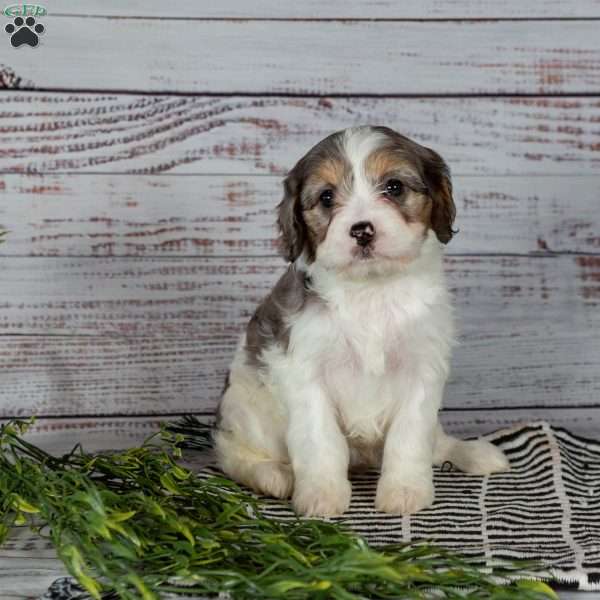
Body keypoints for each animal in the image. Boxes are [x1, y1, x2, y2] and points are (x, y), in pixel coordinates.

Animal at [213, 125, 508, 516]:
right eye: (326, 197)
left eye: (394, 187)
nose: (362, 230)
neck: (371, 289)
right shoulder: (306, 371)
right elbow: (320, 439)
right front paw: (322, 495)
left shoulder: (422, 368)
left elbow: (410, 435)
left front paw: (404, 490)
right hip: (245, 409)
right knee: (231, 451)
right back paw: (271, 474)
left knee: (436, 440)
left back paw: (473, 453)